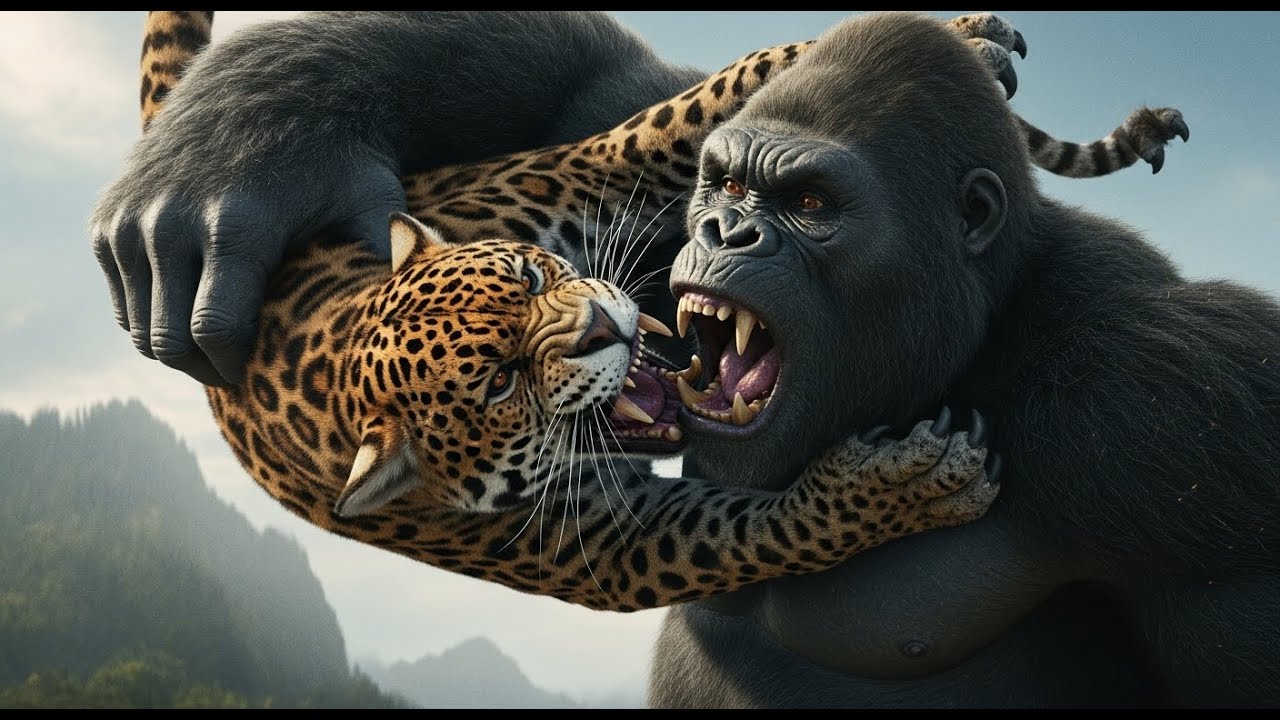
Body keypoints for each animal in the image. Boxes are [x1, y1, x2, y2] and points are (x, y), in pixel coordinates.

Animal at [135, 10, 1188, 611]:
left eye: (527, 279)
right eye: (500, 384)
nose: (605, 327)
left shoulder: (585, 170)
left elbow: (683, 114)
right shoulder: (611, 542)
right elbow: (763, 531)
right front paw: (908, 485)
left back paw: (962, 39)